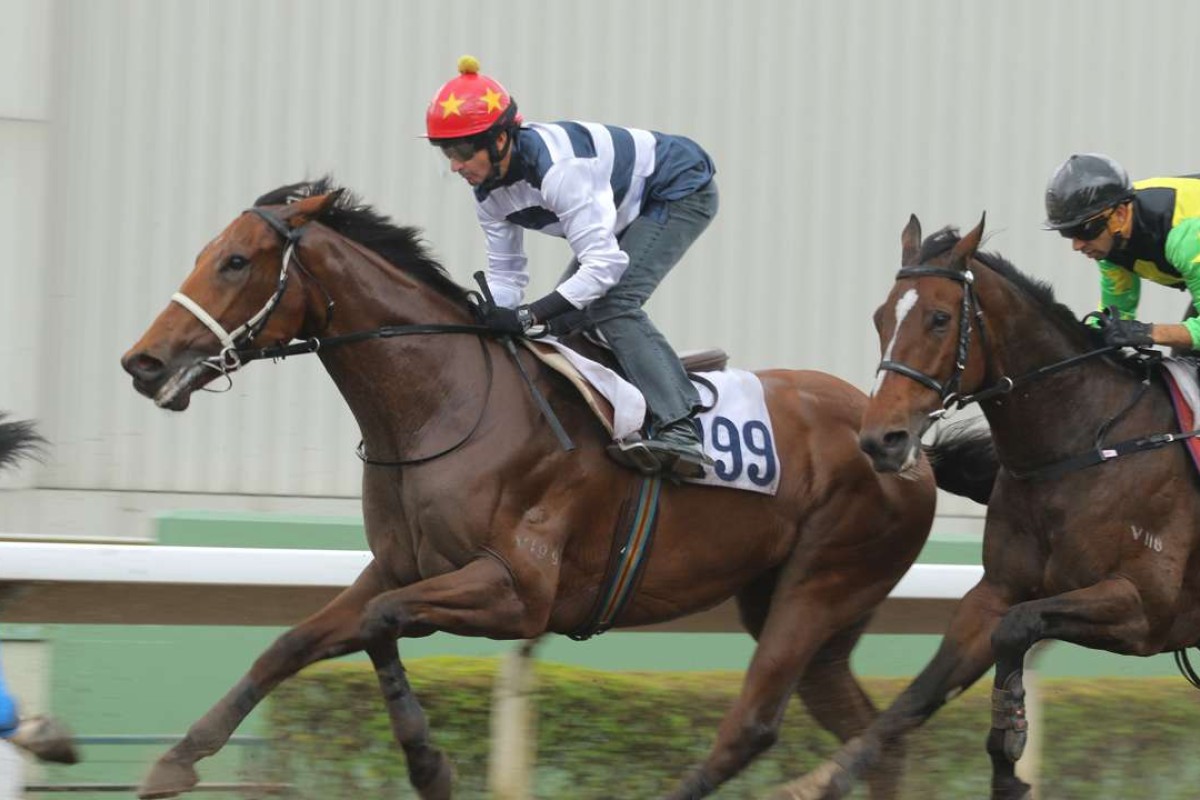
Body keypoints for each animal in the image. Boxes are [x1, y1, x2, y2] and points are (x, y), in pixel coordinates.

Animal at [119, 183, 993, 800]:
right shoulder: (399, 566)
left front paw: (430, 764)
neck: (448, 402)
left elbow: (378, 623)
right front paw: (176, 761)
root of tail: (907, 448)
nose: (144, 363)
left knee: (753, 726)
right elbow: (297, 642)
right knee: (877, 737)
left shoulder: (518, 594)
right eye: (206, 253)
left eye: (236, 262)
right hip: (808, 612)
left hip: (820, 585)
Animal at [777, 212, 1200, 800]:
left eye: (939, 318)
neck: (1081, 447)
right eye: (881, 317)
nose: (881, 441)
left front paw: (1011, 742)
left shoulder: (1143, 608)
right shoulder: (992, 593)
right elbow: (918, 694)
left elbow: (1018, 629)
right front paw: (820, 780)